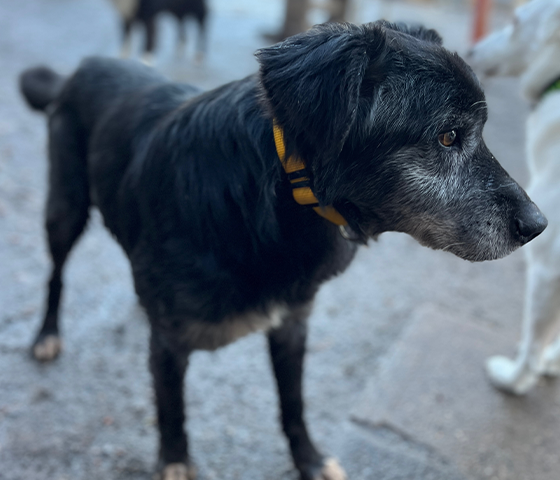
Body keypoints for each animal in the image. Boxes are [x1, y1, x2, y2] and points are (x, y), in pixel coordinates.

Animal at [19, 21, 547, 480]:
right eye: (447, 136)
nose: (539, 225)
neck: (270, 198)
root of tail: (82, 66)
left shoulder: (291, 324)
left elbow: (293, 403)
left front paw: (308, 460)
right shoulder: (170, 345)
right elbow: (172, 409)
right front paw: (175, 461)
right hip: (65, 210)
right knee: (56, 274)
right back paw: (46, 335)